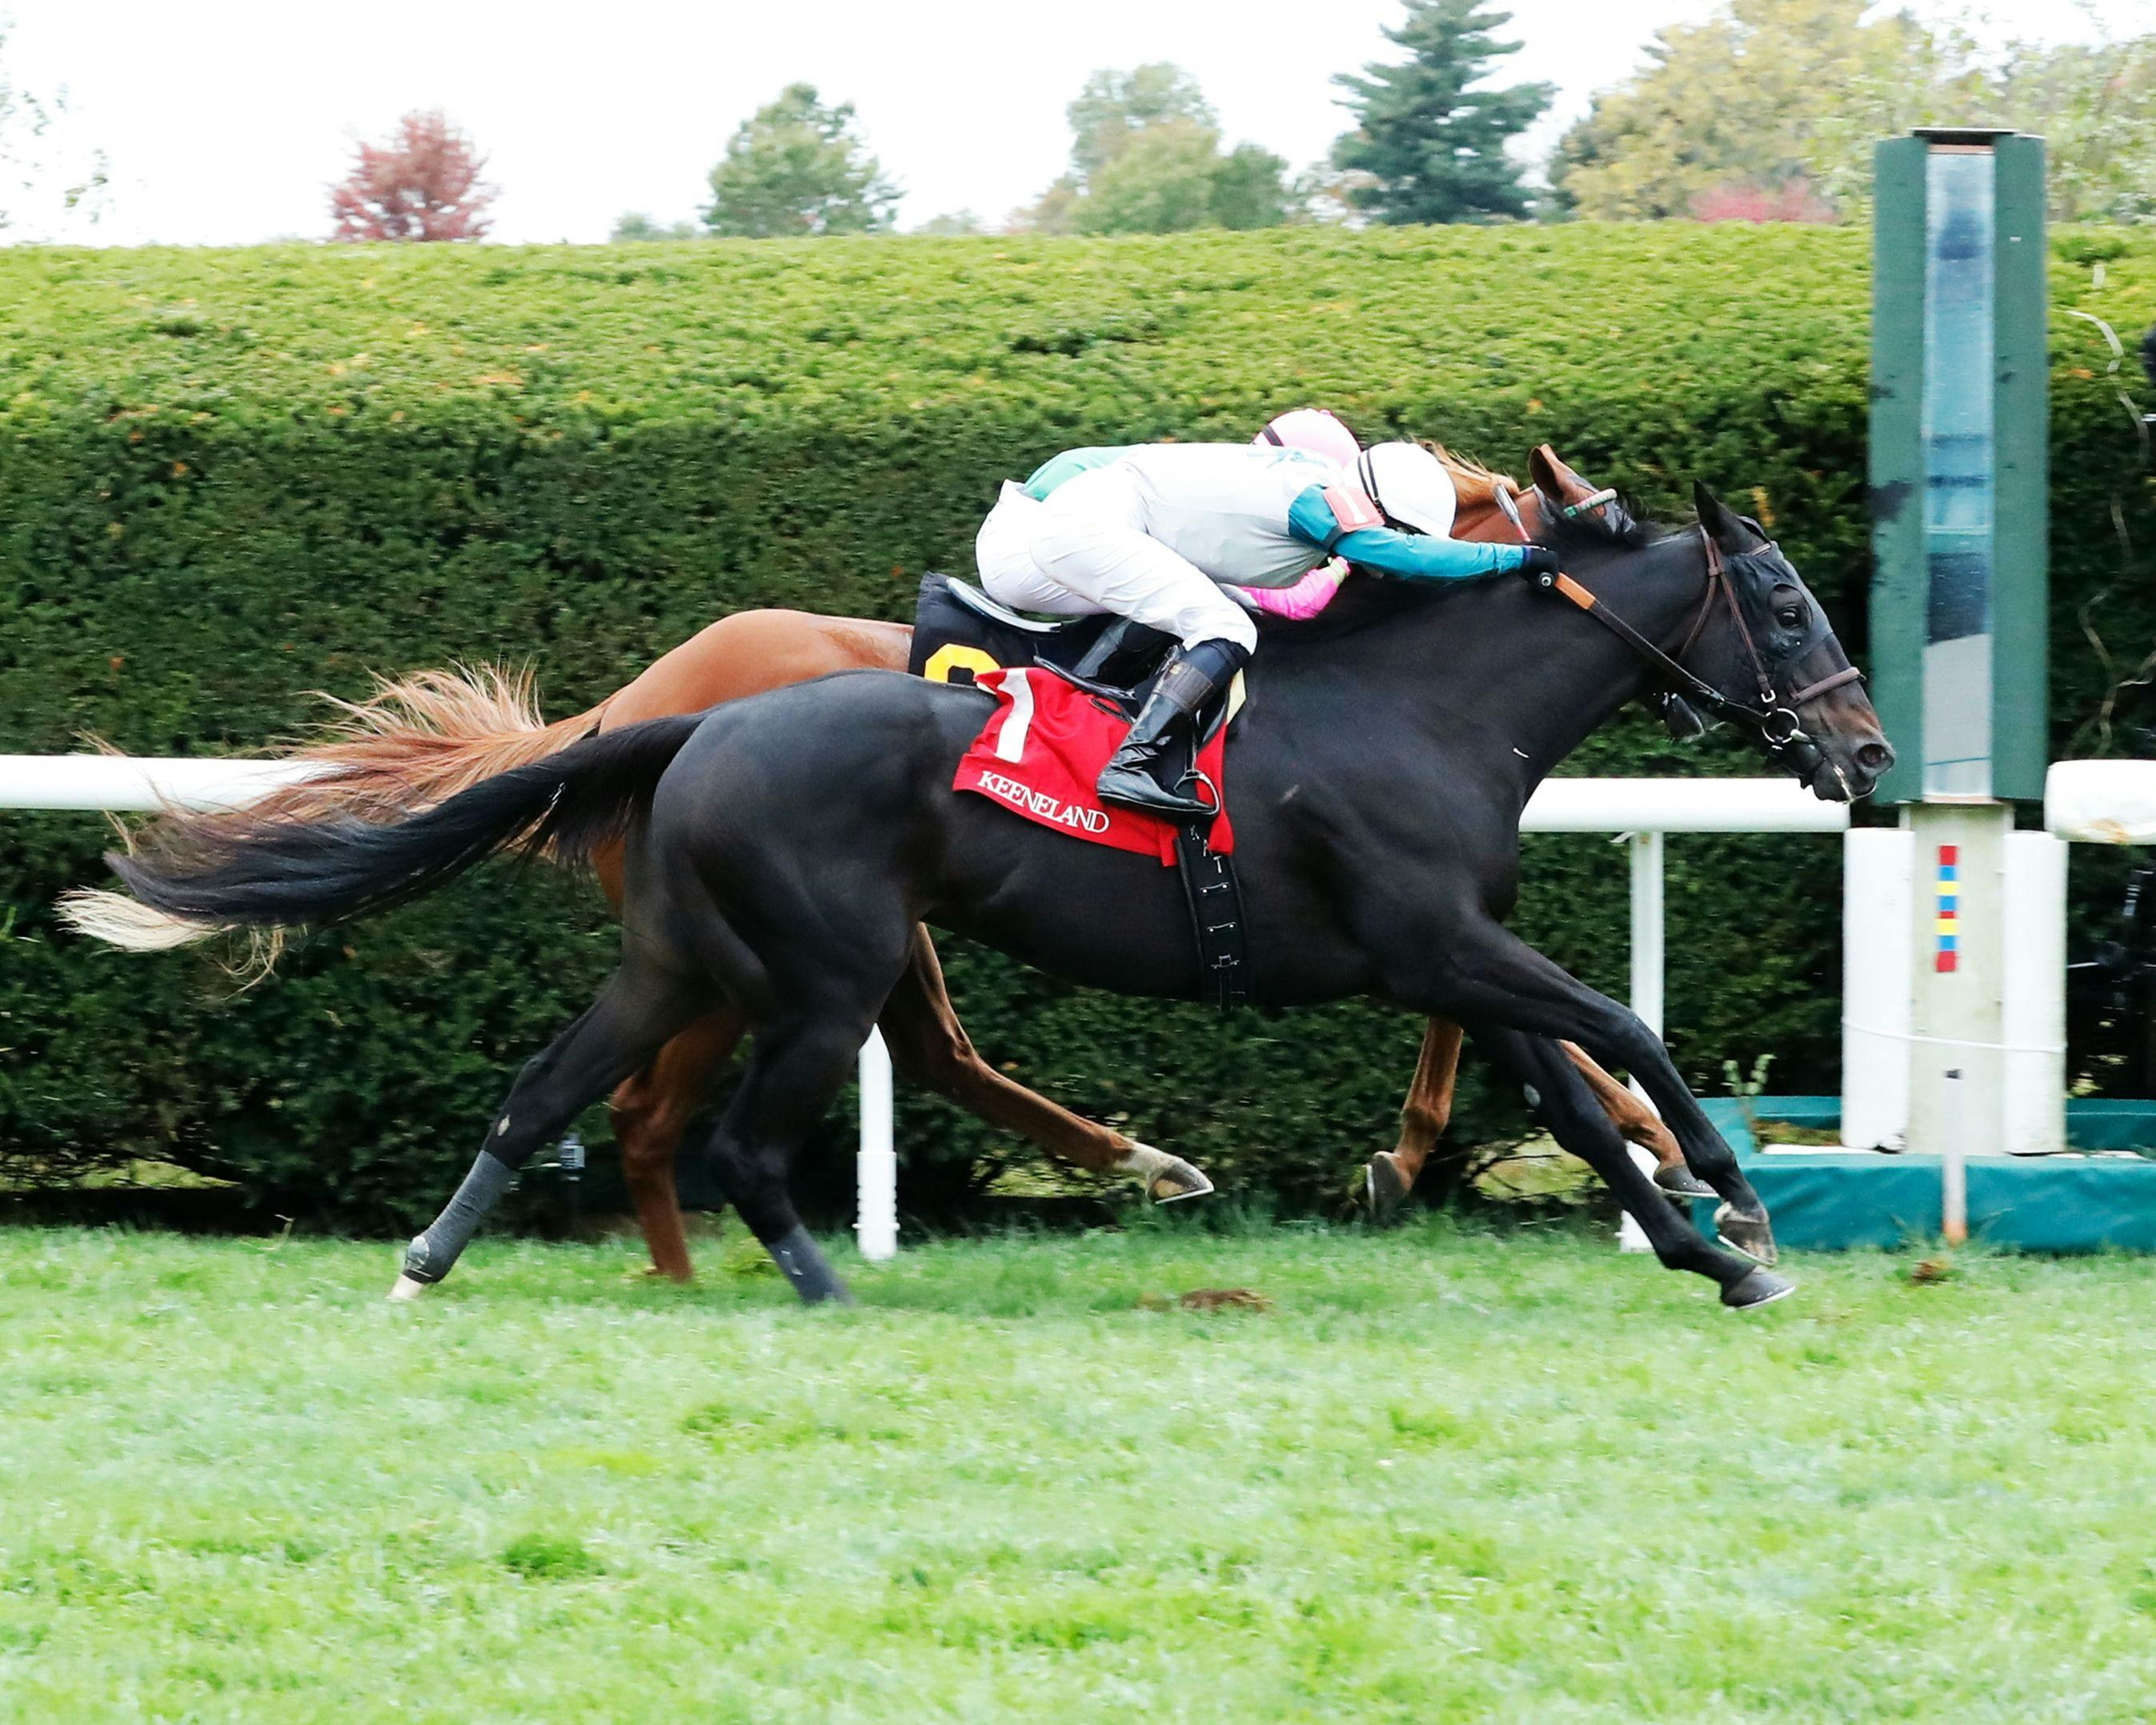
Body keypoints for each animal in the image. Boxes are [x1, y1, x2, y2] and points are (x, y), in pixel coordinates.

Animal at [101, 485, 1888, 1310]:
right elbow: (1618, 1035)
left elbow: (1575, 1094)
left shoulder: (1443, 957)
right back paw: (827, 1279)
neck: (1419, 706)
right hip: (823, 970)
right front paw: (1735, 1198)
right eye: (1787, 605)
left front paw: (1710, 1249)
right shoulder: (1439, 940)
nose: (1866, 753)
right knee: (751, 1130)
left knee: (554, 1091)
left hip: (682, 959)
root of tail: (674, 715)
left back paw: (436, 1260)